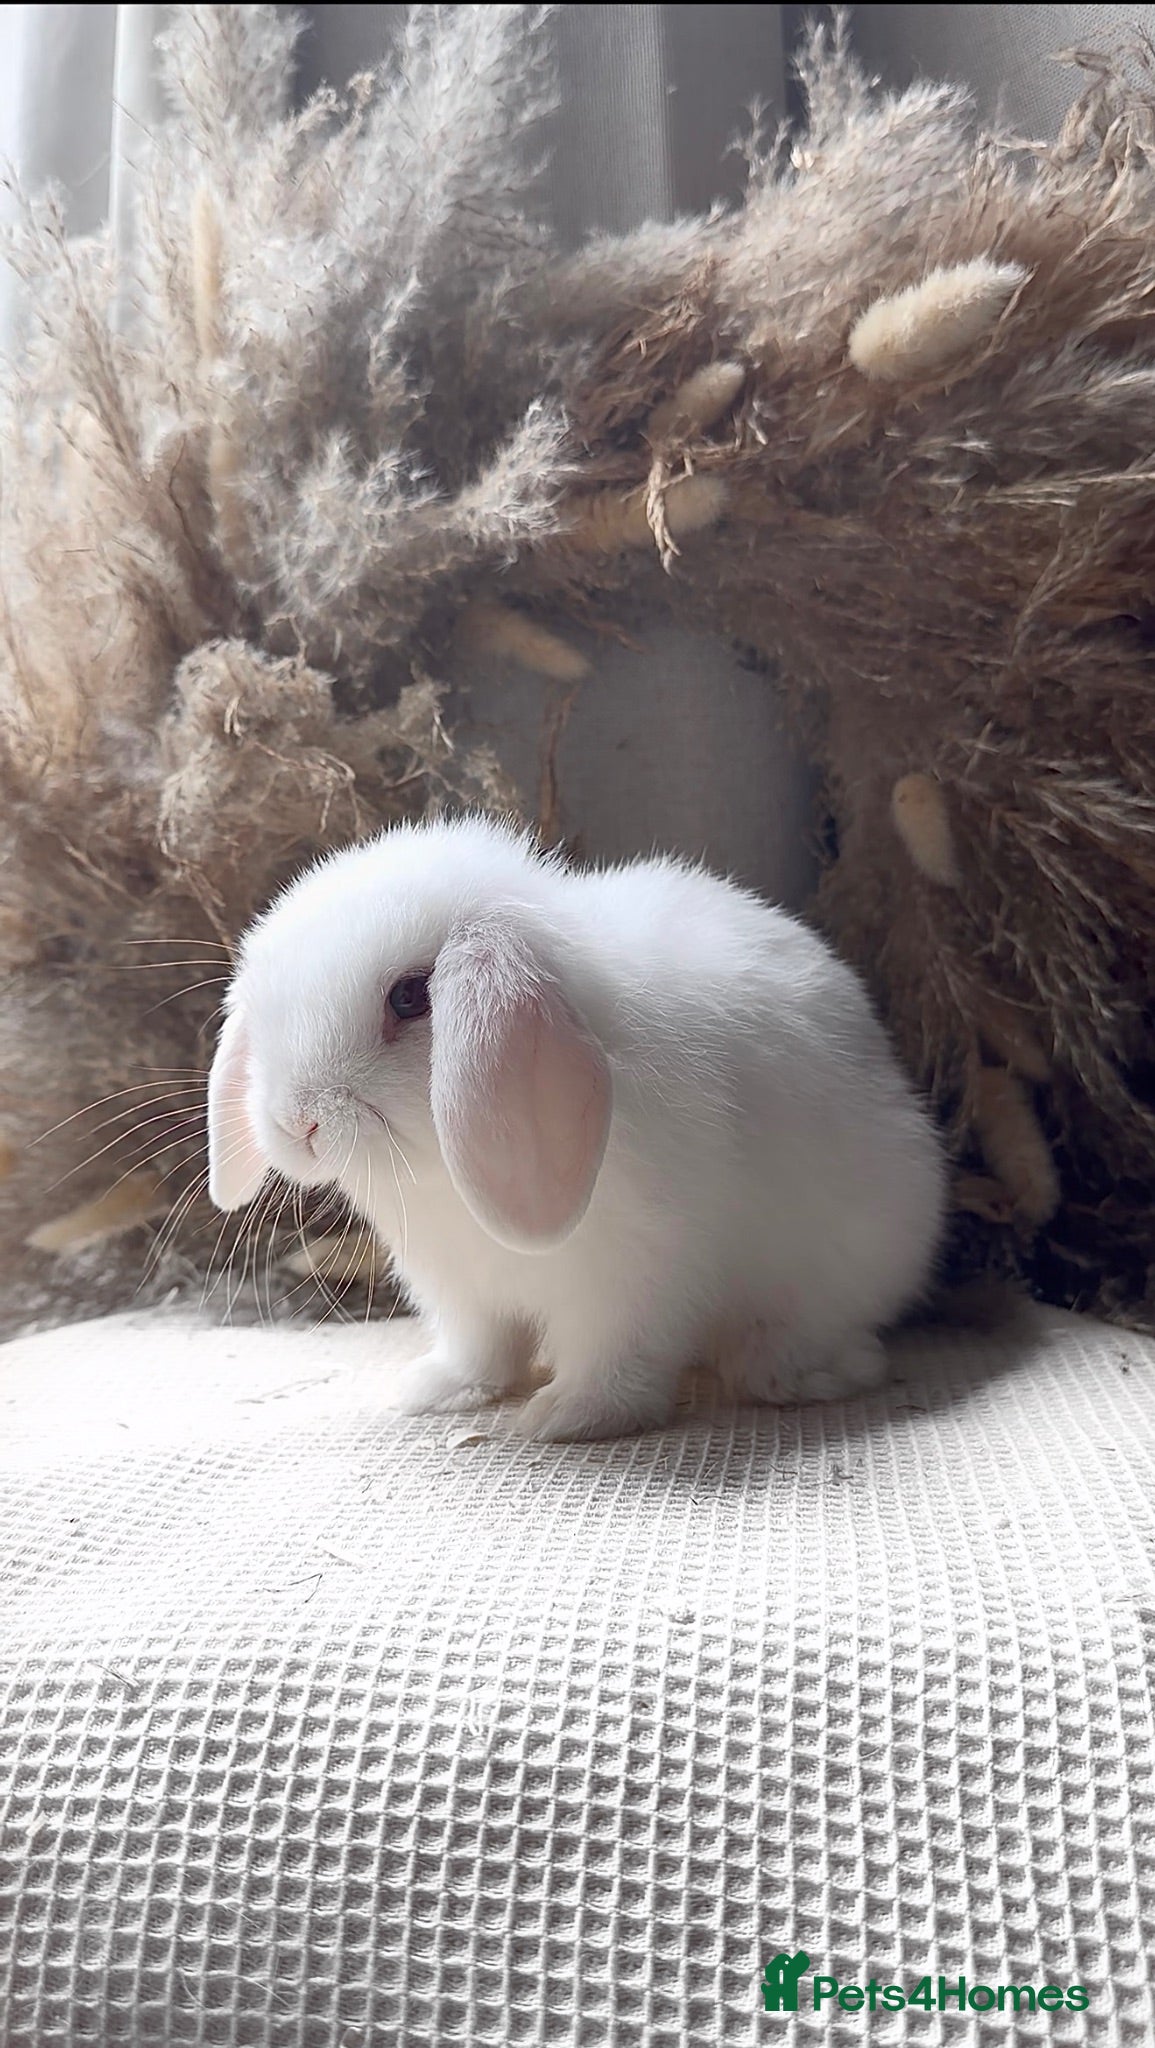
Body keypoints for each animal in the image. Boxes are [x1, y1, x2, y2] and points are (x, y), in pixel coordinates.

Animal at [207, 813, 947, 1440]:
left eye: (411, 997)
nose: (296, 1120)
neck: (442, 1185)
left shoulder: (637, 1274)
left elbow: (617, 1358)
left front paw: (566, 1417)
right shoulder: (459, 1291)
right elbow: (481, 1349)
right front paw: (435, 1391)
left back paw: (798, 1372)